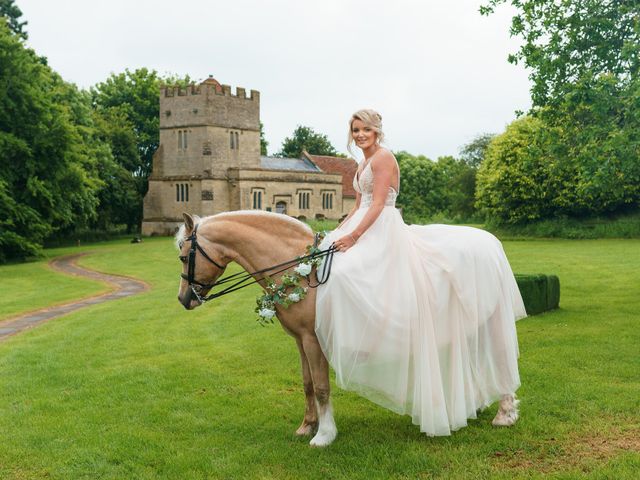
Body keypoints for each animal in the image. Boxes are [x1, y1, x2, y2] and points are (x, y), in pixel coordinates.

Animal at [175, 210, 520, 446]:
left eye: (181, 256)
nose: (183, 299)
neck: (301, 268)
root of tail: (490, 242)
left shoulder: (314, 340)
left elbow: (322, 387)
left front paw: (324, 435)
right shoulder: (300, 340)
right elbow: (307, 384)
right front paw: (308, 425)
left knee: (501, 361)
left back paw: (504, 414)